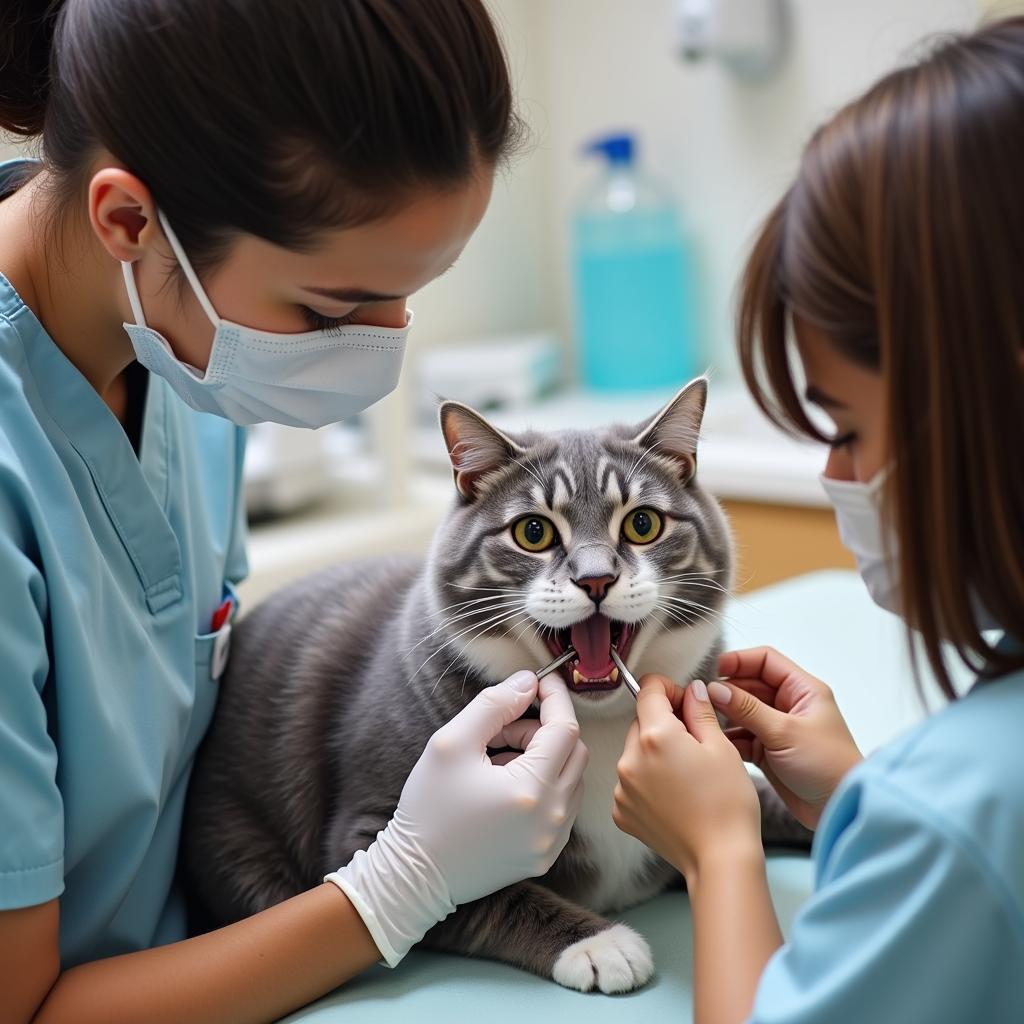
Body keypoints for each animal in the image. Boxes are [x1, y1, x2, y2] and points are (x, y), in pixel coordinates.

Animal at [182, 376, 806, 991]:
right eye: (533, 531)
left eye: (643, 523)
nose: (596, 579)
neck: (599, 722)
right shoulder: (366, 832)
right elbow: (480, 893)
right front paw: (598, 944)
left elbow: (756, 802)